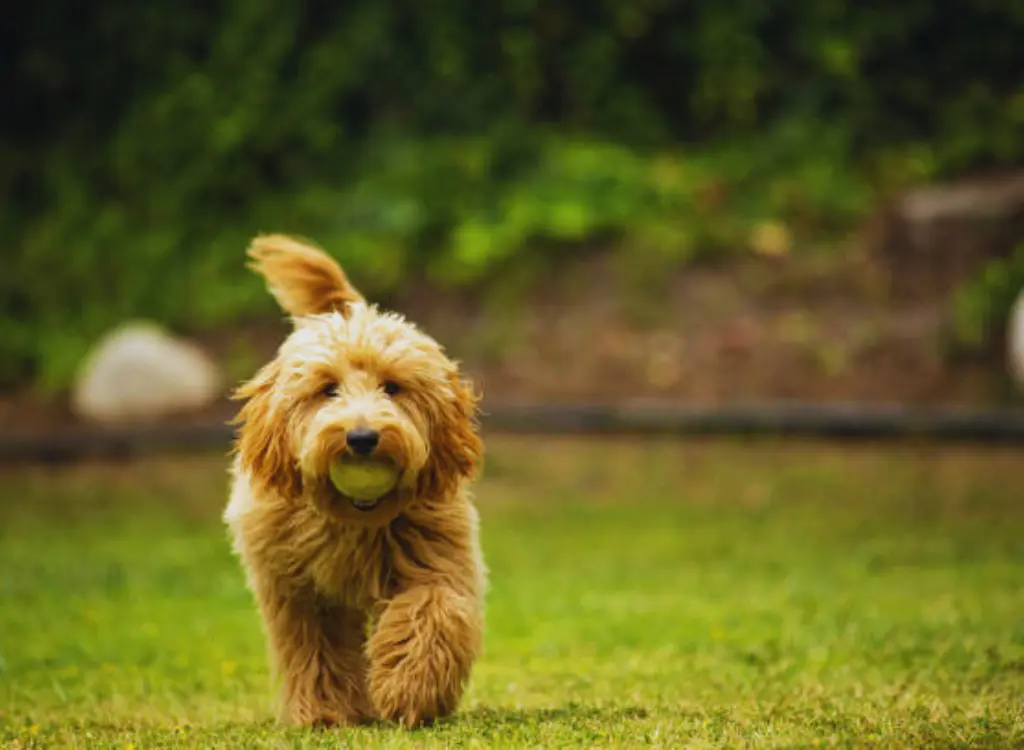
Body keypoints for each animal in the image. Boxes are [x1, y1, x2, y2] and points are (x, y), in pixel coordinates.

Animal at [223, 234, 483, 725]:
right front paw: (326, 712)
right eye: (328, 389)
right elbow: (314, 647)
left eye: (392, 387)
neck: (352, 521)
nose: (362, 438)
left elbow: (433, 609)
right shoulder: (297, 589)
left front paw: (409, 688)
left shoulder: (436, 554)